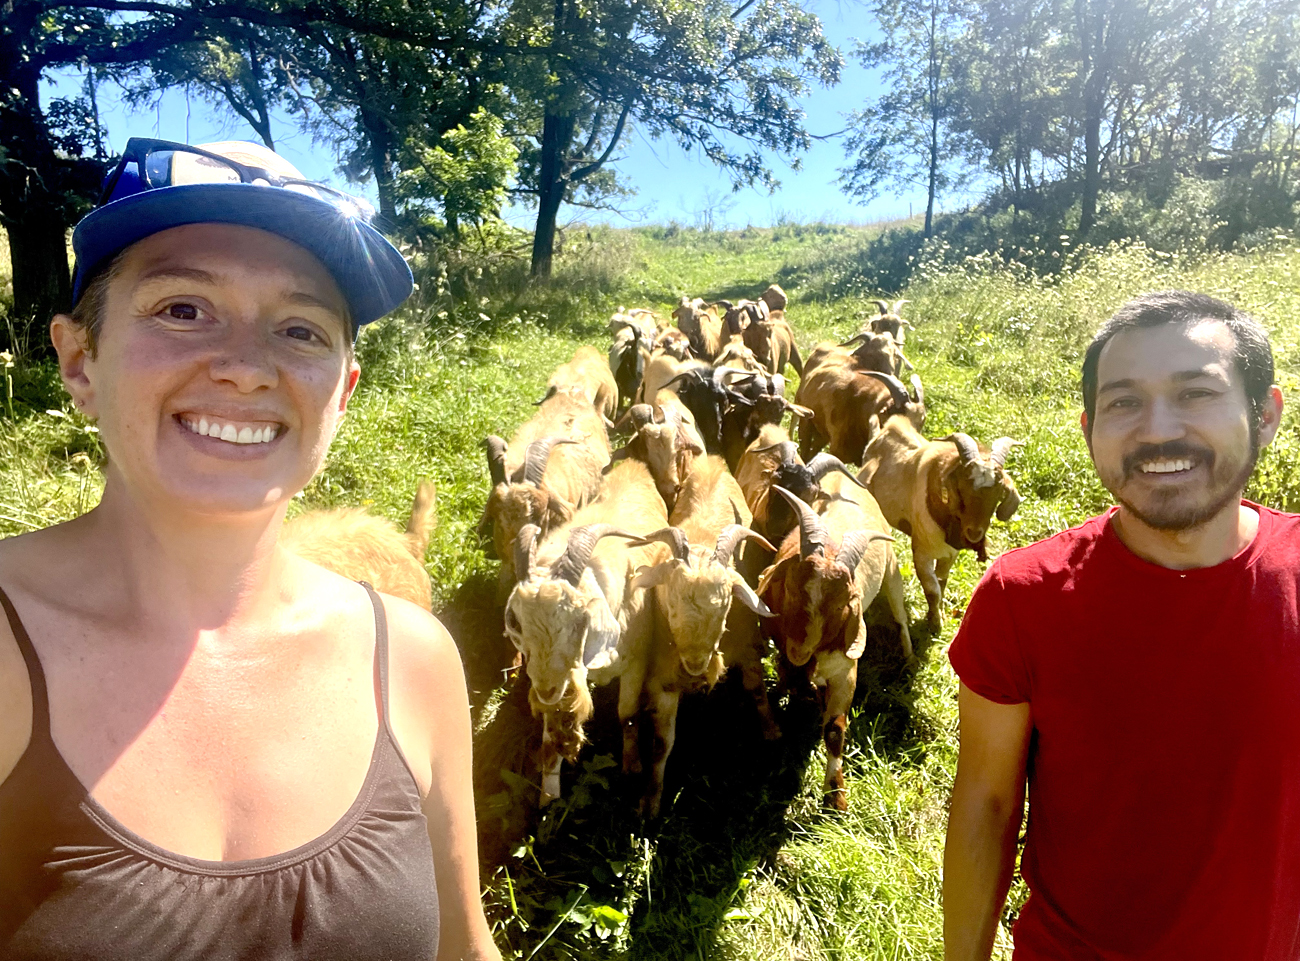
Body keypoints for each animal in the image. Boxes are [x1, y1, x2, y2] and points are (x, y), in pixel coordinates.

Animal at [504, 457, 670, 806]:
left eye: (579, 621)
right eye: (519, 623)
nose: (546, 690)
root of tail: (634, 464)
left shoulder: (636, 663)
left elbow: (627, 713)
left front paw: (632, 766)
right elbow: (550, 739)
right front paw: (548, 799)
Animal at [759, 488, 909, 811]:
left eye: (842, 605)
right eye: (790, 587)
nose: (801, 649)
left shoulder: (845, 672)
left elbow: (834, 729)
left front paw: (836, 797)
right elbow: (787, 676)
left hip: (892, 572)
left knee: (901, 615)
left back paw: (909, 656)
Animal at [863, 418, 1024, 631]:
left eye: (998, 493)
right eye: (961, 488)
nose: (974, 533)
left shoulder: (950, 554)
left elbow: (942, 582)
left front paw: (937, 614)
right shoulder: (921, 552)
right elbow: (932, 589)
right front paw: (936, 624)